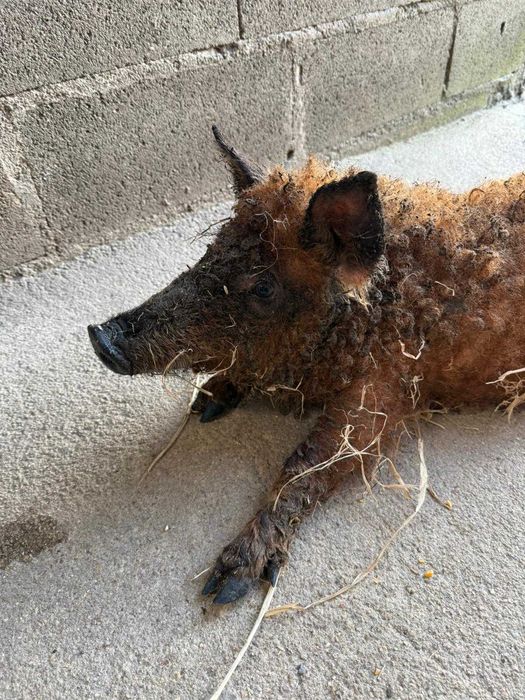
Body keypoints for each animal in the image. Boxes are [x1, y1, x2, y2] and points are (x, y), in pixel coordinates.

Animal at [88, 127, 525, 604]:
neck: (380, 305)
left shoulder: (384, 393)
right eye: (210, 252)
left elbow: (306, 463)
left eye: (263, 287)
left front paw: (224, 585)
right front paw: (204, 403)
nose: (100, 336)